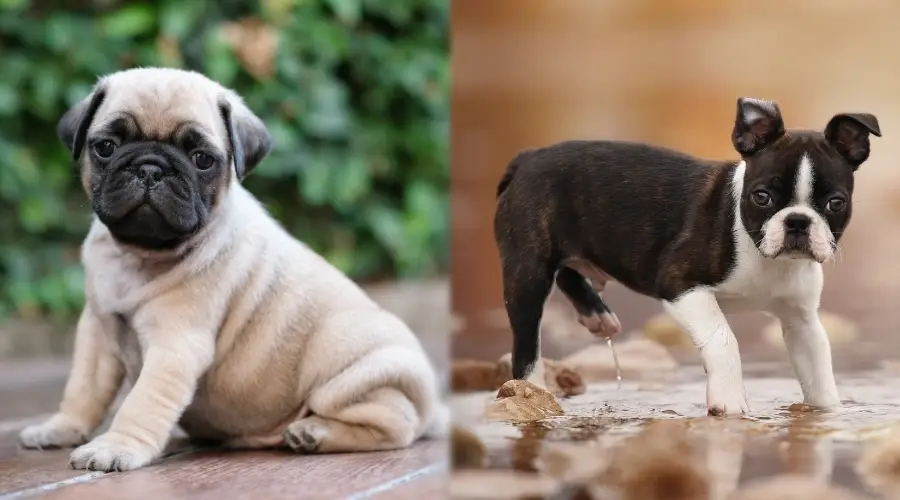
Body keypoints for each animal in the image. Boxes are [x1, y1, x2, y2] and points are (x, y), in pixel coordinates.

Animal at [15, 68, 444, 470]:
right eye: (106, 147)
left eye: (202, 159)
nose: (151, 168)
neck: (140, 255)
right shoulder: (97, 333)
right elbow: (82, 390)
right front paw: (62, 427)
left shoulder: (174, 346)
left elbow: (141, 402)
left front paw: (116, 446)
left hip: (353, 373)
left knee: (394, 424)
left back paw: (314, 433)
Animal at [492, 97, 880, 414]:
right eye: (762, 197)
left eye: (835, 203)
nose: (797, 221)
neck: (766, 258)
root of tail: (528, 157)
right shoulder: (680, 284)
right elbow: (724, 339)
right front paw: (729, 401)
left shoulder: (801, 320)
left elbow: (818, 368)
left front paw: (828, 411)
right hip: (528, 272)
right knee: (527, 345)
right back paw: (535, 392)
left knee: (569, 271)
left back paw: (597, 315)